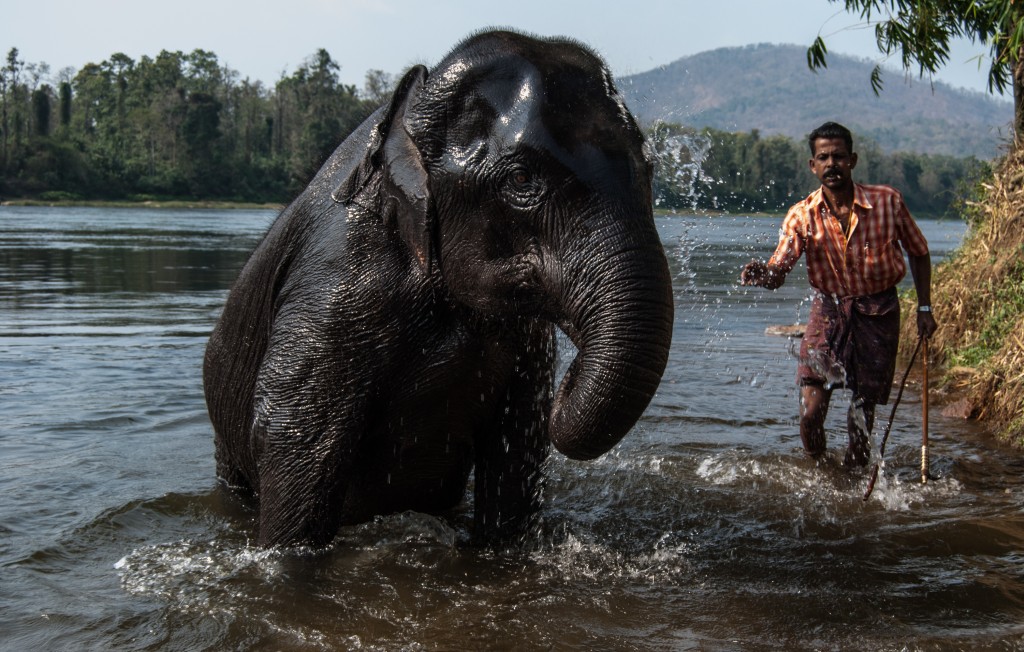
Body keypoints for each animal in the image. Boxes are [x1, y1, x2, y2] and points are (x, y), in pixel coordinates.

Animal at [202, 31, 675, 548]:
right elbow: (297, 440)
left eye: (651, 169)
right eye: (521, 178)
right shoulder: (332, 287)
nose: (568, 382)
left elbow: (518, 447)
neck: (412, 108)